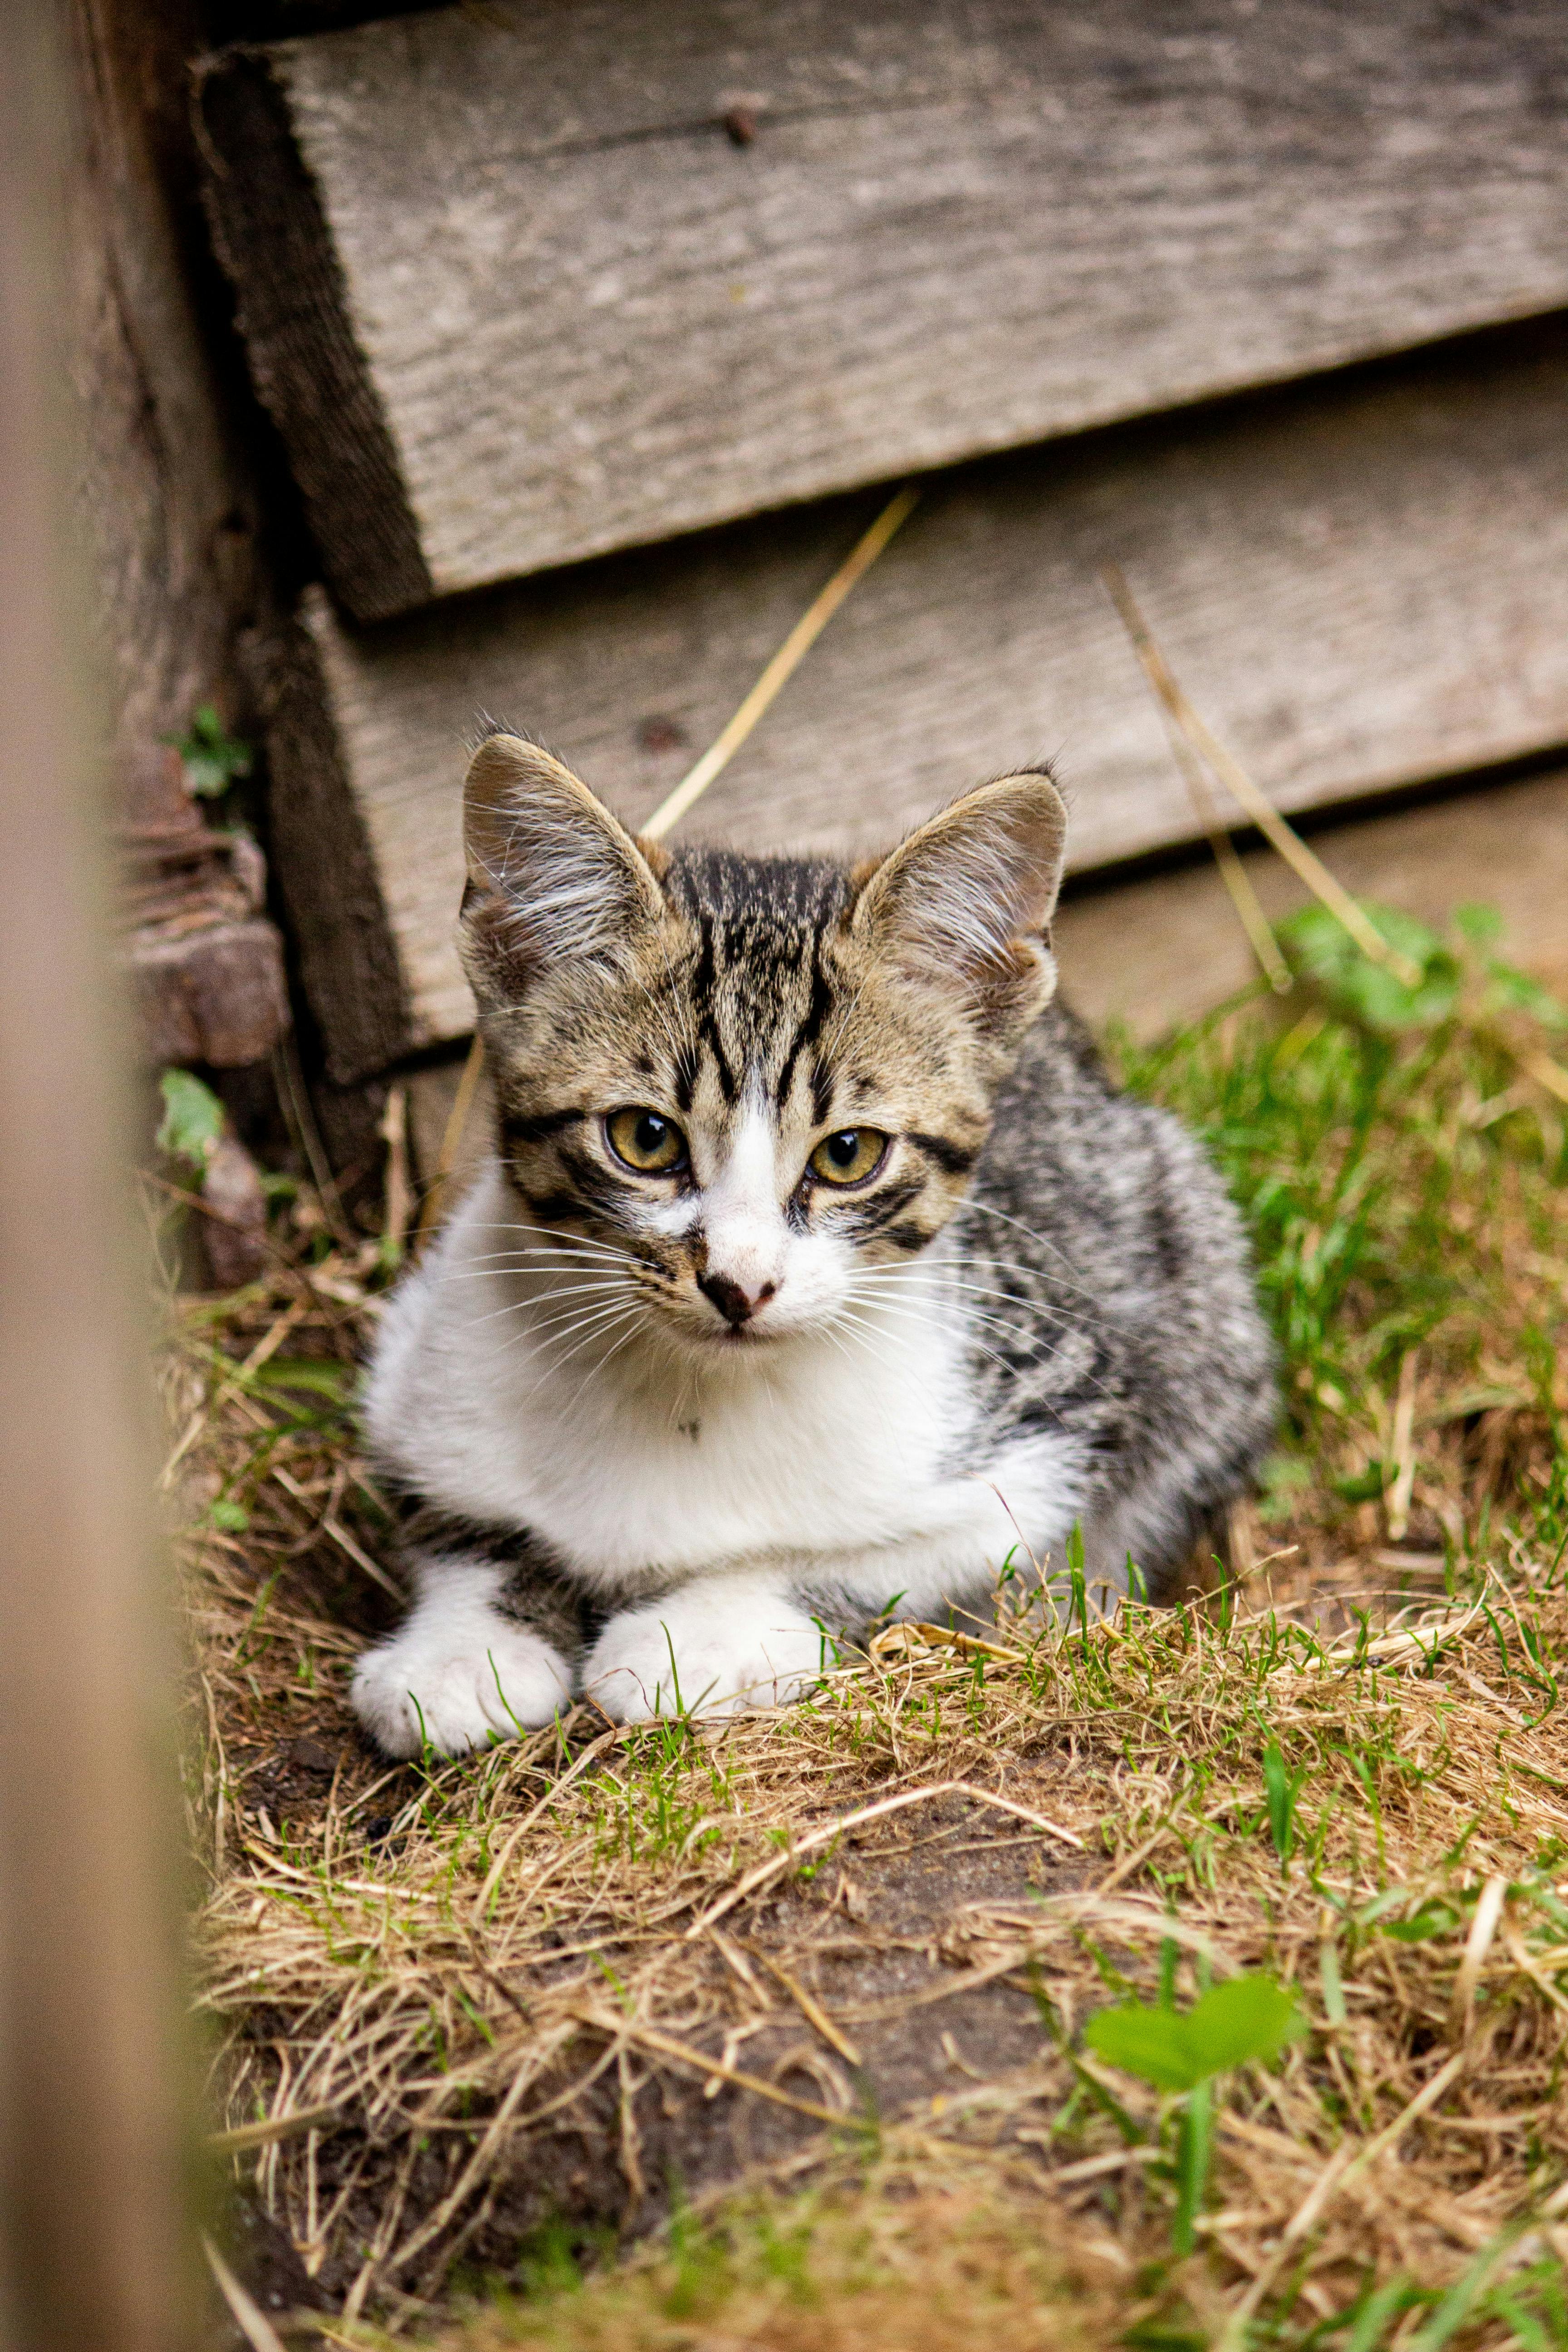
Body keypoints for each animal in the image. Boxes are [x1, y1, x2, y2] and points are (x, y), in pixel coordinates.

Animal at [353, 724, 1279, 1759]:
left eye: (847, 1154)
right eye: (646, 1138)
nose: (739, 1282)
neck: (693, 1394)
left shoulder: (1057, 1414)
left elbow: (889, 1556)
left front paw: (702, 1633)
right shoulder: (417, 1367)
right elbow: (464, 1521)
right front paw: (459, 1653)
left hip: (1187, 1243)